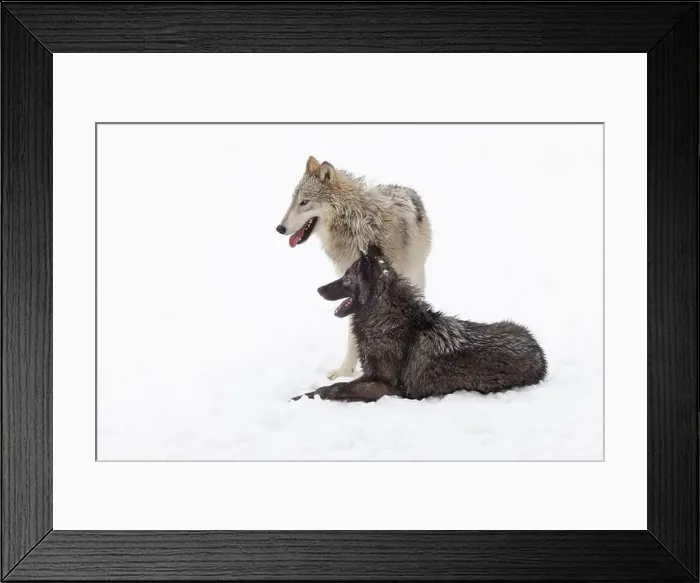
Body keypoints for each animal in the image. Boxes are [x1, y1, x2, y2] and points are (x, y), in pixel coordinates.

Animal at [292, 246, 547, 403]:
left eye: (346, 278)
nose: (319, 289)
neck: (384, 321)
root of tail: (539, 351)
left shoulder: (387, 386)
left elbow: (334, 389)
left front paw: (299, 397)